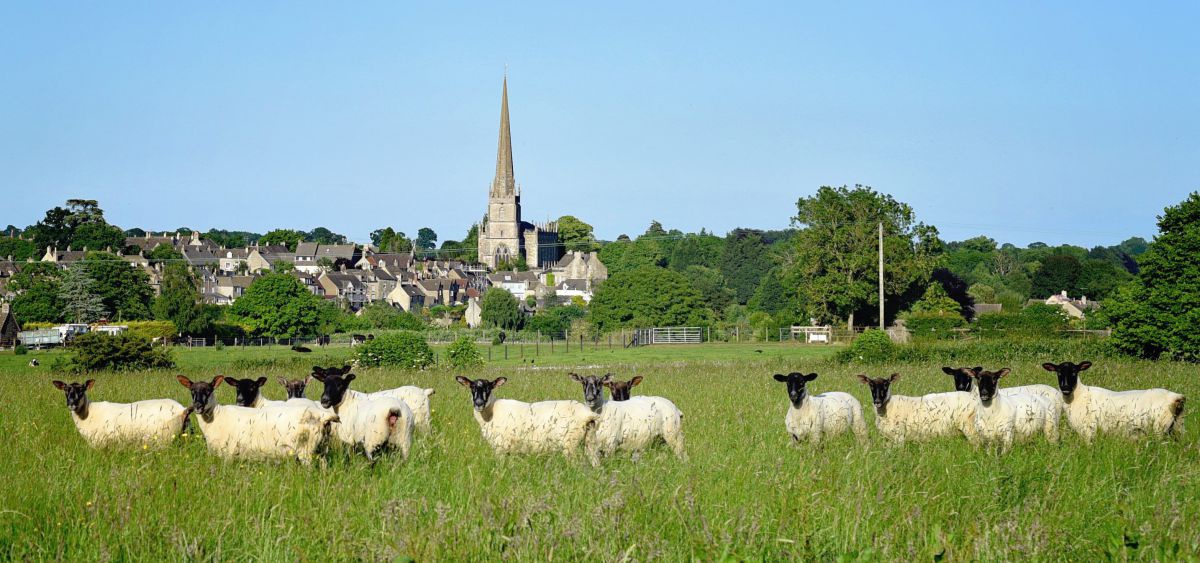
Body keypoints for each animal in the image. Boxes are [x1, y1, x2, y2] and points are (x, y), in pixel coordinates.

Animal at [51, 376, 190, 446]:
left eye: (82, 390)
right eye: (65, 390)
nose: (71, 404)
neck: (87, 413)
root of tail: (182, 409)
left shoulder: (99, 443)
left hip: (165, 438)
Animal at [174, 374, 336, 463]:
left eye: (208, 390)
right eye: (192, 390)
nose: (198, 406)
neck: (216, 416)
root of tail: (322, 415)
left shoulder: (228, 453)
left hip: (305, 450)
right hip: (321, 449)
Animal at [453, 372, 595, 456]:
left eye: (489, 388)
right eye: (472, 388)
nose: (479, 403)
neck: (491, 413)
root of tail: (587, 413)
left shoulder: (500, 447)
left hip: (570, 444)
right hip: (589, 441)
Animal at [1041, 360, 1180, 444]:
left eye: (1075, 372)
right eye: (1058, 372)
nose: (1066, 388)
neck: (1079, 395)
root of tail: (1174, 397)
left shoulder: (1088, 428)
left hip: (1160, 427)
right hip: (1173, 426)